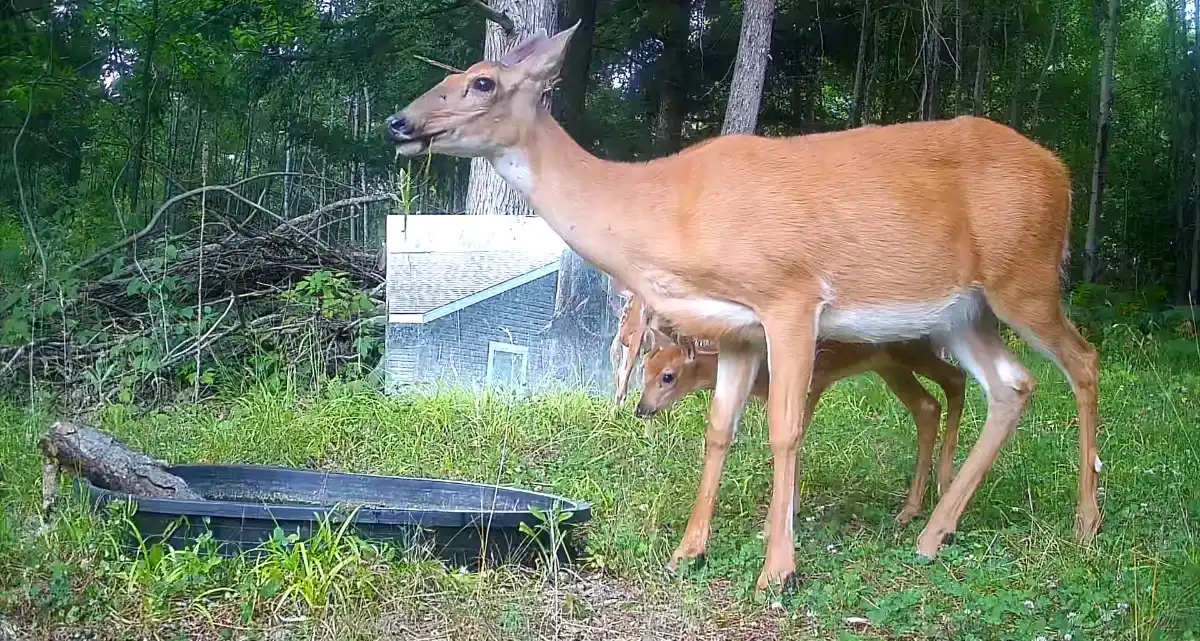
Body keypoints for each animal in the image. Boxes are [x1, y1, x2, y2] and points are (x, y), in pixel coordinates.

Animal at [635, 326, 966, 549]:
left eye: (668, 376)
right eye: (644, 369)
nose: (641, 409)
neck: (761, 375)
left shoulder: (813, 382)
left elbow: (795, 439)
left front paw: (775, 523)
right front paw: (789, 512)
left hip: (907, 351)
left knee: (956, 379)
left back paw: (944, 483)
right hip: (887, 363)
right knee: (928, 407)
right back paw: (910, 509)